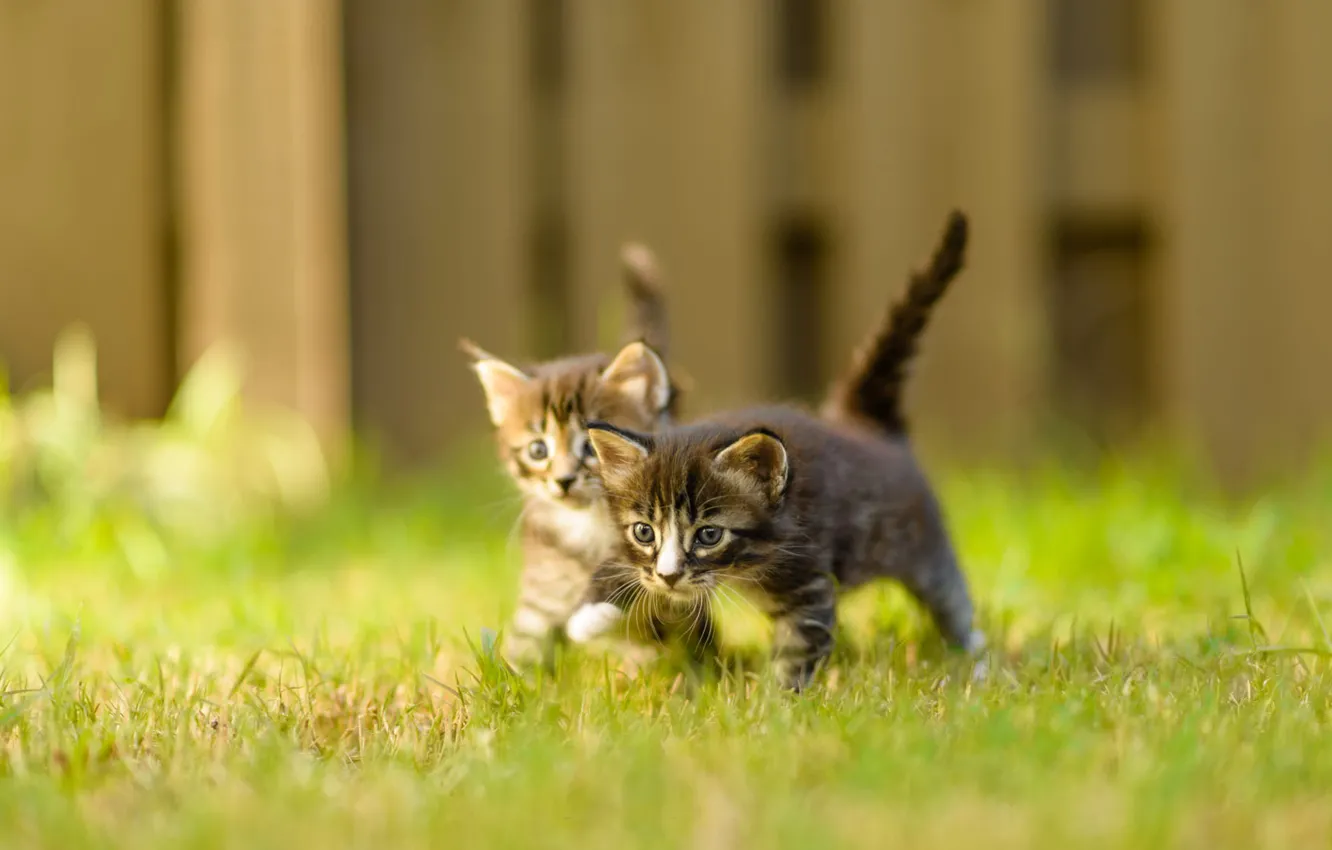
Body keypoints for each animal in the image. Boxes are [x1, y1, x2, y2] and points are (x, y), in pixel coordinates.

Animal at [463, 242, 681, 668]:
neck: (587, 529)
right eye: (538, 450)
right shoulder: (538, 594)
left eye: (592, 447)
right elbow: (523, 647)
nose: (563, 481)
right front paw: (510, 681)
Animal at [567, 211, 985, 692]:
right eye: (643, 532)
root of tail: (861, 421)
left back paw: (976, 657)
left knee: (951, 595)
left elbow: (800, 644)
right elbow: (620, 564)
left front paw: (780, 699)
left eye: (709, 535)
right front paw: (589, 613)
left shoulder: (808, 576)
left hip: (922, 542)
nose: (670, 577)